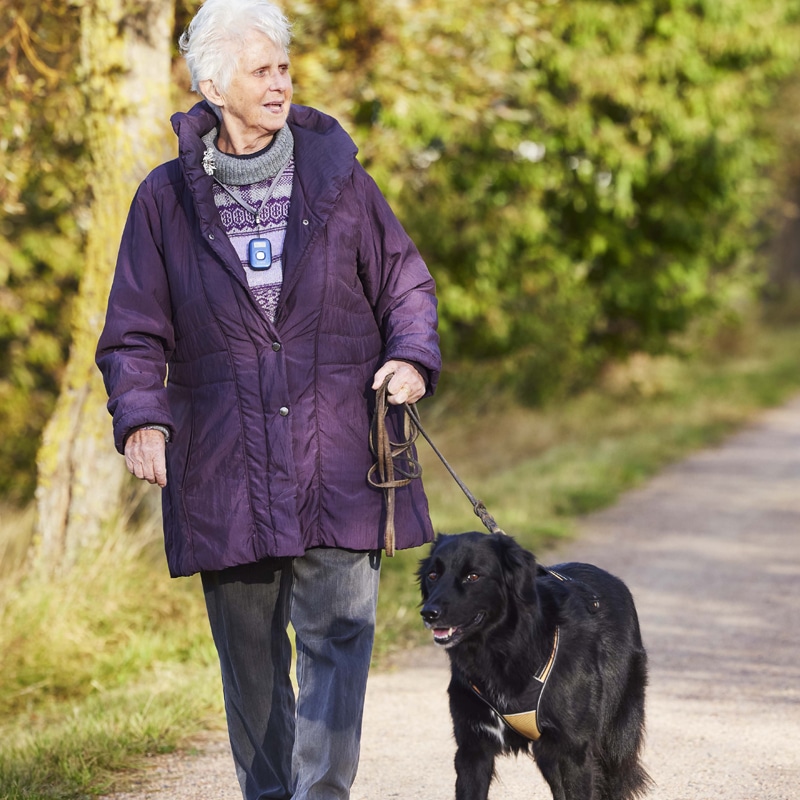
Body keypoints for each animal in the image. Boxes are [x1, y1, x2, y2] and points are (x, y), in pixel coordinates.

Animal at [418, 532, 648, 800]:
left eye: (473, 576)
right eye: (433, 575)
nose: (428, 613)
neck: (501, 651)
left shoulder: (574, 749)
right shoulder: (472, 749)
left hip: (615, 740)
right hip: (548, 755)